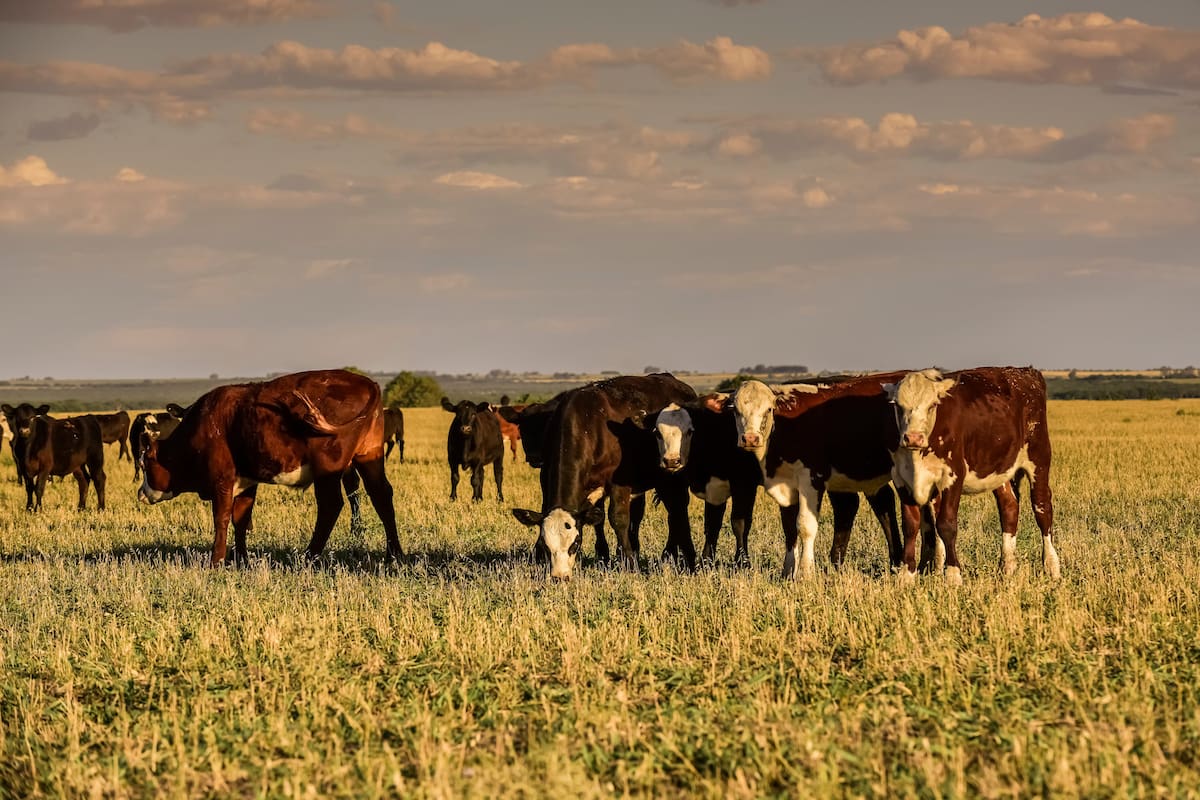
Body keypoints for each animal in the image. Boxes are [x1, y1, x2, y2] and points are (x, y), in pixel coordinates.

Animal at [138, 369, 402, 566]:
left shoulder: (222, 480)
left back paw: (310, 556)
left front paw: (216, 560)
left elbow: (221, 519)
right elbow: (241, 518)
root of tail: (367, 383)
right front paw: (241, 559)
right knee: (382, 496)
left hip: (328, 468)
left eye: (144, 463)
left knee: (331, 505)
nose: (141, 493)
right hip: (369, 456)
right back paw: (394, 554)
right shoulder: (246, 482)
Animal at [511, 373, 697, 580]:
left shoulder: (618, 483)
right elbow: (596, 519)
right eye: (546, 545)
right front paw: (603, 556)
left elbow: (618, 519)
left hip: (672, 478)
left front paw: (629, 563)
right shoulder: (549, 477)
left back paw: (674, 554)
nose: (560, 577)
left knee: (677, 511)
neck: (586, 426)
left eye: (575, 543)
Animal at [724, 375, 911, 579]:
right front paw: (788, 572)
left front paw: (806, 572)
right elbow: (789, 527)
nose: (750, 438)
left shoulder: (811, 479)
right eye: (735, 410)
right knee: (881, 505)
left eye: (768, 409)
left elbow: (805, 525)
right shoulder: (786, 485)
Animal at [885, 366, 1061, 584]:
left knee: (1042, 507)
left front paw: (953, 575)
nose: (913, 438)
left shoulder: (953, 476)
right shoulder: (902, 479)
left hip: (1039, 457)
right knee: (1009, 507)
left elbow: (946, 524)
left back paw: (1052, 566)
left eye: (932, 405)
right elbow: (910, 526)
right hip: (999, 468)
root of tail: (1024, 371)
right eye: (898, 406)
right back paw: (1007, 566)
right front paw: (906, 575)